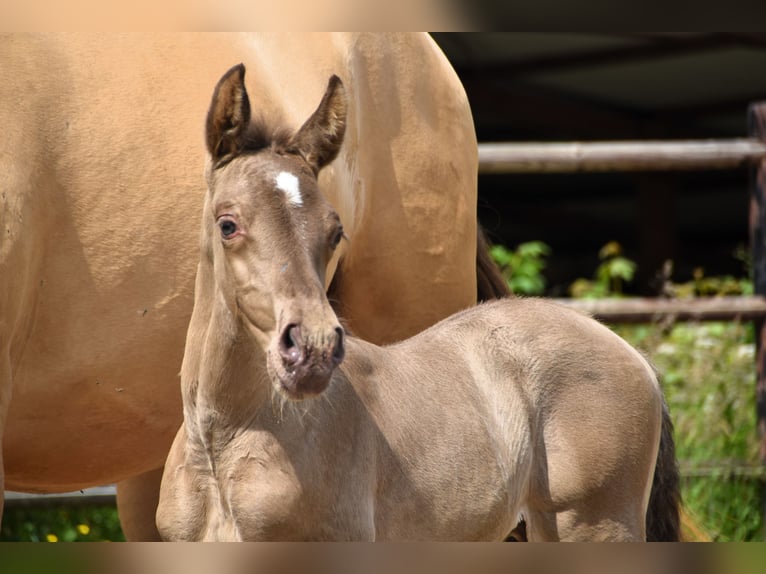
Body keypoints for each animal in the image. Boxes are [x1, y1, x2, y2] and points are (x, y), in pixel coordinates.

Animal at [158, 65, 684, 544]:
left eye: (336, 231)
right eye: (228, 224)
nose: (312, 351)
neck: (222, 446)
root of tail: (632, 353)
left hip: (595, 525)